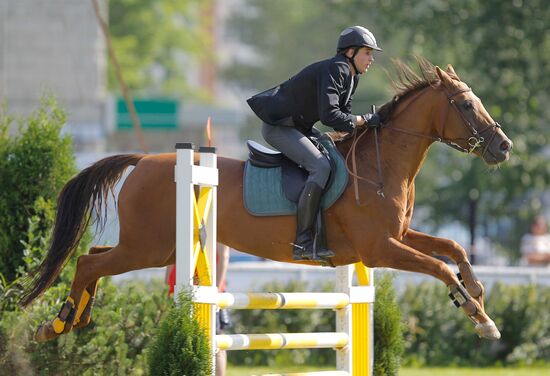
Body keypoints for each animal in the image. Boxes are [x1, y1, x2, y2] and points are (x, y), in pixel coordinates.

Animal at [20, 58, 512, 340]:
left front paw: (478, 294)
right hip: (149, 248)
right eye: (465, 105)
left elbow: (453, 248)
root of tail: (144, 159)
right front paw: (479, 316)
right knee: (89, 263)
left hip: (155, 249)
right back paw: (58, 323)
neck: (380, 164)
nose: (503, 147)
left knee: (95, 255)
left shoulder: (400, 235)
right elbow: (438, 267)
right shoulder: (380, 249)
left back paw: (74, 320)